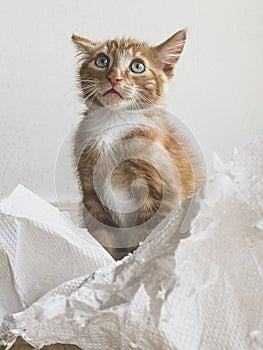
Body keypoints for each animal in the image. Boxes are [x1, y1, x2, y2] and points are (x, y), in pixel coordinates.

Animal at [72, 30, 206, 260]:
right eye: (101, 61)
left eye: (137, 66)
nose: (114, 77)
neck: (113, 125)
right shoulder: (92, 198)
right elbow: (103, 240)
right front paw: (108, 265)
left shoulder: (162, 193)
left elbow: (145, 238)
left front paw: (133, 264)